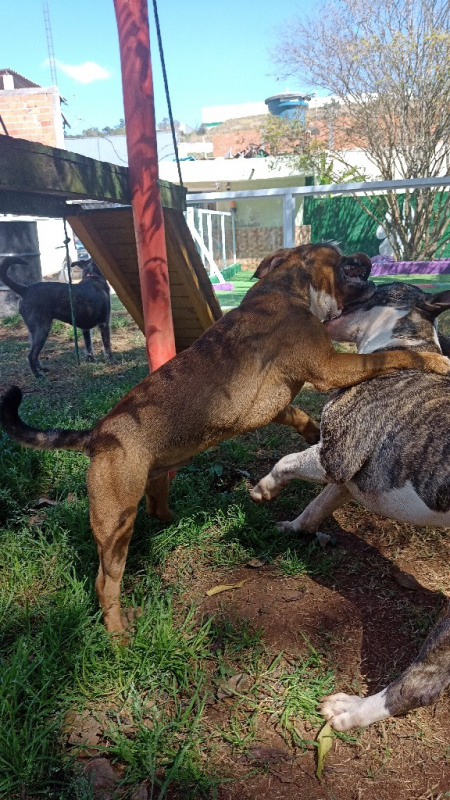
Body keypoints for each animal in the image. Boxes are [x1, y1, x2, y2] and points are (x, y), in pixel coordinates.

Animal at [1, 242, 448, 632]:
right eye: (339, 255)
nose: (366, 255)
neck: (287, 288)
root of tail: (97, 436)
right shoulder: (329, 366)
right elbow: (393, 356)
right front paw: (435, 360)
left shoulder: (279, 398)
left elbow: (299, 414)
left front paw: (312, 432)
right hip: (115, 523)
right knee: (104, 583)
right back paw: (118, 636)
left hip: (154, 482)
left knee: (157, 509)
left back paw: (178, 522)